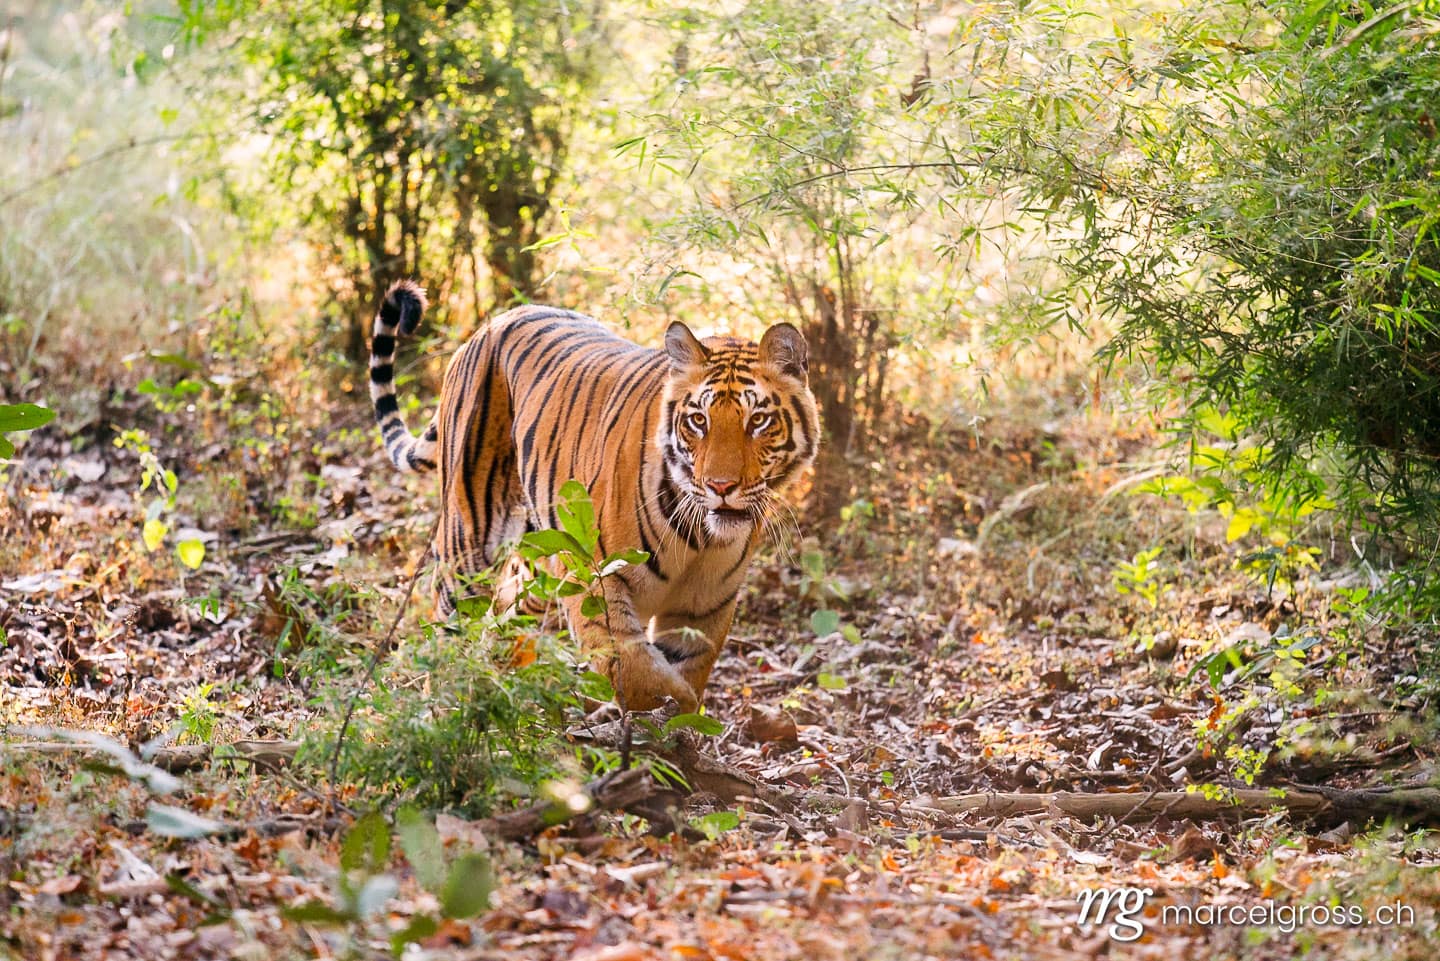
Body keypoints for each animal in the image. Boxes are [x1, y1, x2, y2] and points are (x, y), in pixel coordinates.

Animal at [369, 281, 820, 712]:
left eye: (758, 420)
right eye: (698, 420)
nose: (721, 487)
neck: (701, 538)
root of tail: (486, 327)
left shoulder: (704, 606)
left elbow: (683, 676)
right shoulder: (594, 578)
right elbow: (639, 676)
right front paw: (673, 707)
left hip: (539, 560)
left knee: (504, 611)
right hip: (469, 537)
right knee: (448, 620)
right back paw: (443, 703)